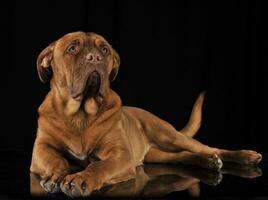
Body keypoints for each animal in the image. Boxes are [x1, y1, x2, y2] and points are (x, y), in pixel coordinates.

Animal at [30, 32, 262, 198]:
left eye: (104, 50)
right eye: (72, 48)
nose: (94, 57)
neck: (80, 114)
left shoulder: (121, 154)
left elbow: (99, 165)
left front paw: (81, 178)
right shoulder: (41, 149)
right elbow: (56, 160)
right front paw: (56, 175)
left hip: (169, 136)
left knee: (209, 148)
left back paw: (245, 156)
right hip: (156, 154)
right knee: (180, 157)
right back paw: (208, 162)